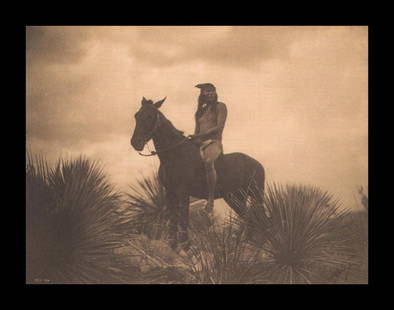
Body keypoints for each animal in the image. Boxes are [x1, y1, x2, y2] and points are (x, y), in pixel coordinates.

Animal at [130, 97, 264, 252]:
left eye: (150, 116)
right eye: (137, 115)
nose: (135, 142)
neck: (175, 154)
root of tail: (257, 164)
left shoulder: (183, 193)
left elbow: (183, 220)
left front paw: (186, 248)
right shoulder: (170, 193)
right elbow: (173, 221)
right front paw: (173, 247)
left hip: (256, 196)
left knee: (260, 220)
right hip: (235, 198)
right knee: (249, 218)